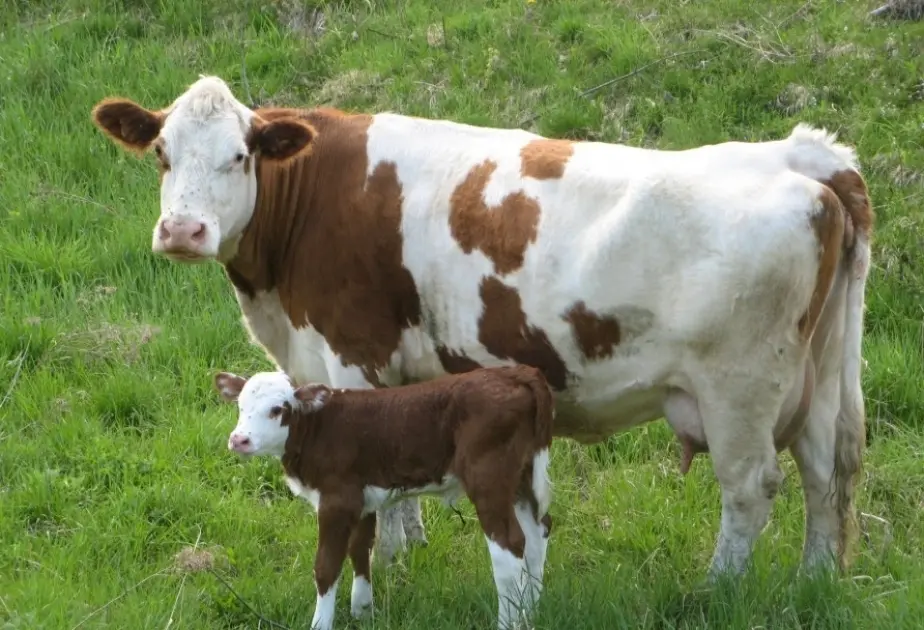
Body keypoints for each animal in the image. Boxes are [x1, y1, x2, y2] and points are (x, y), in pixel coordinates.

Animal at [92, 75, 872, 584]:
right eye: (162, 154)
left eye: (239, 155)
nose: (183, 231)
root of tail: (799, 155)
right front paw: (409, 550)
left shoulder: (352, 352)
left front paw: (390, 563)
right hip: (820, 372)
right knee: (826, 469)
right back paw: (814, 582)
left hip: (738, 385)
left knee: (750, 487)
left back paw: (717, 590)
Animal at [213, 366, 552, 630]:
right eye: (240, 406)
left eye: (277, 409)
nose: (239, 440)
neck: (319, 428)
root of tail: (517, 373)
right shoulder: (362, 501)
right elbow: (360, 550)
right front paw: (363, 611)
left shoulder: (337, 500)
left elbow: (326, 566)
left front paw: (322, 623)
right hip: (523, 477)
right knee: (537, 534)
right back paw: (531, 613)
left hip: (488, 479)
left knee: (509, 548)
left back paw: (510, 621)